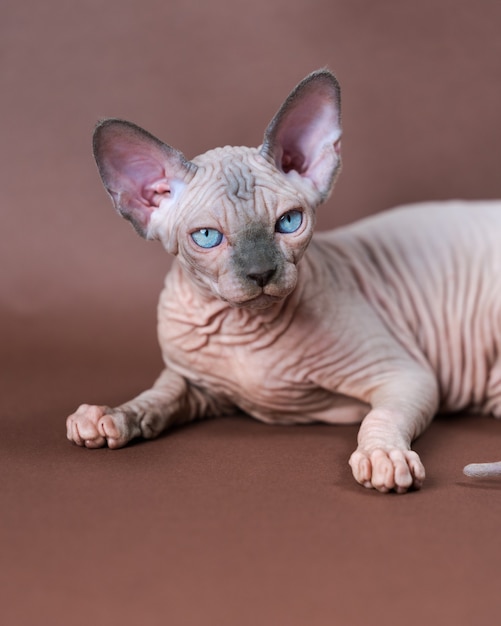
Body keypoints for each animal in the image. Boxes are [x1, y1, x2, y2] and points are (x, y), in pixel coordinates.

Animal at [66, 69, 500, 492]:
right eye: (206, 236)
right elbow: (159, 396)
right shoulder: (198, 384)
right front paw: (113, 415)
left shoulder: (405, 375)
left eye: (289, 222)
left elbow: (379, 418)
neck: (244, 331)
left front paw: (383, 456)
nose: (260, 272)